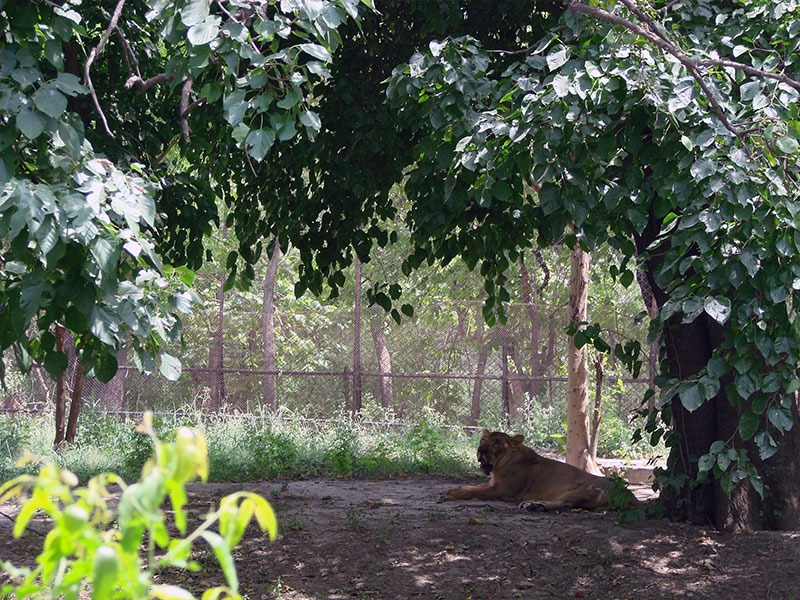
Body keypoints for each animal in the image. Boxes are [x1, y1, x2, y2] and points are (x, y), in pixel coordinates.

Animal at [438, 428, 636, 508]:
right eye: (483, 440)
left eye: (497, 443)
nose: (480, 450)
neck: (500, 464)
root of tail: (630, 494)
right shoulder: (492, 484)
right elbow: (469, 486)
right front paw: (451, 490)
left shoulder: (503, 491)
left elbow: (473, 490)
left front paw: (448, 495)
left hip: (584, 489)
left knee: (568, 503)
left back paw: (534, 505)